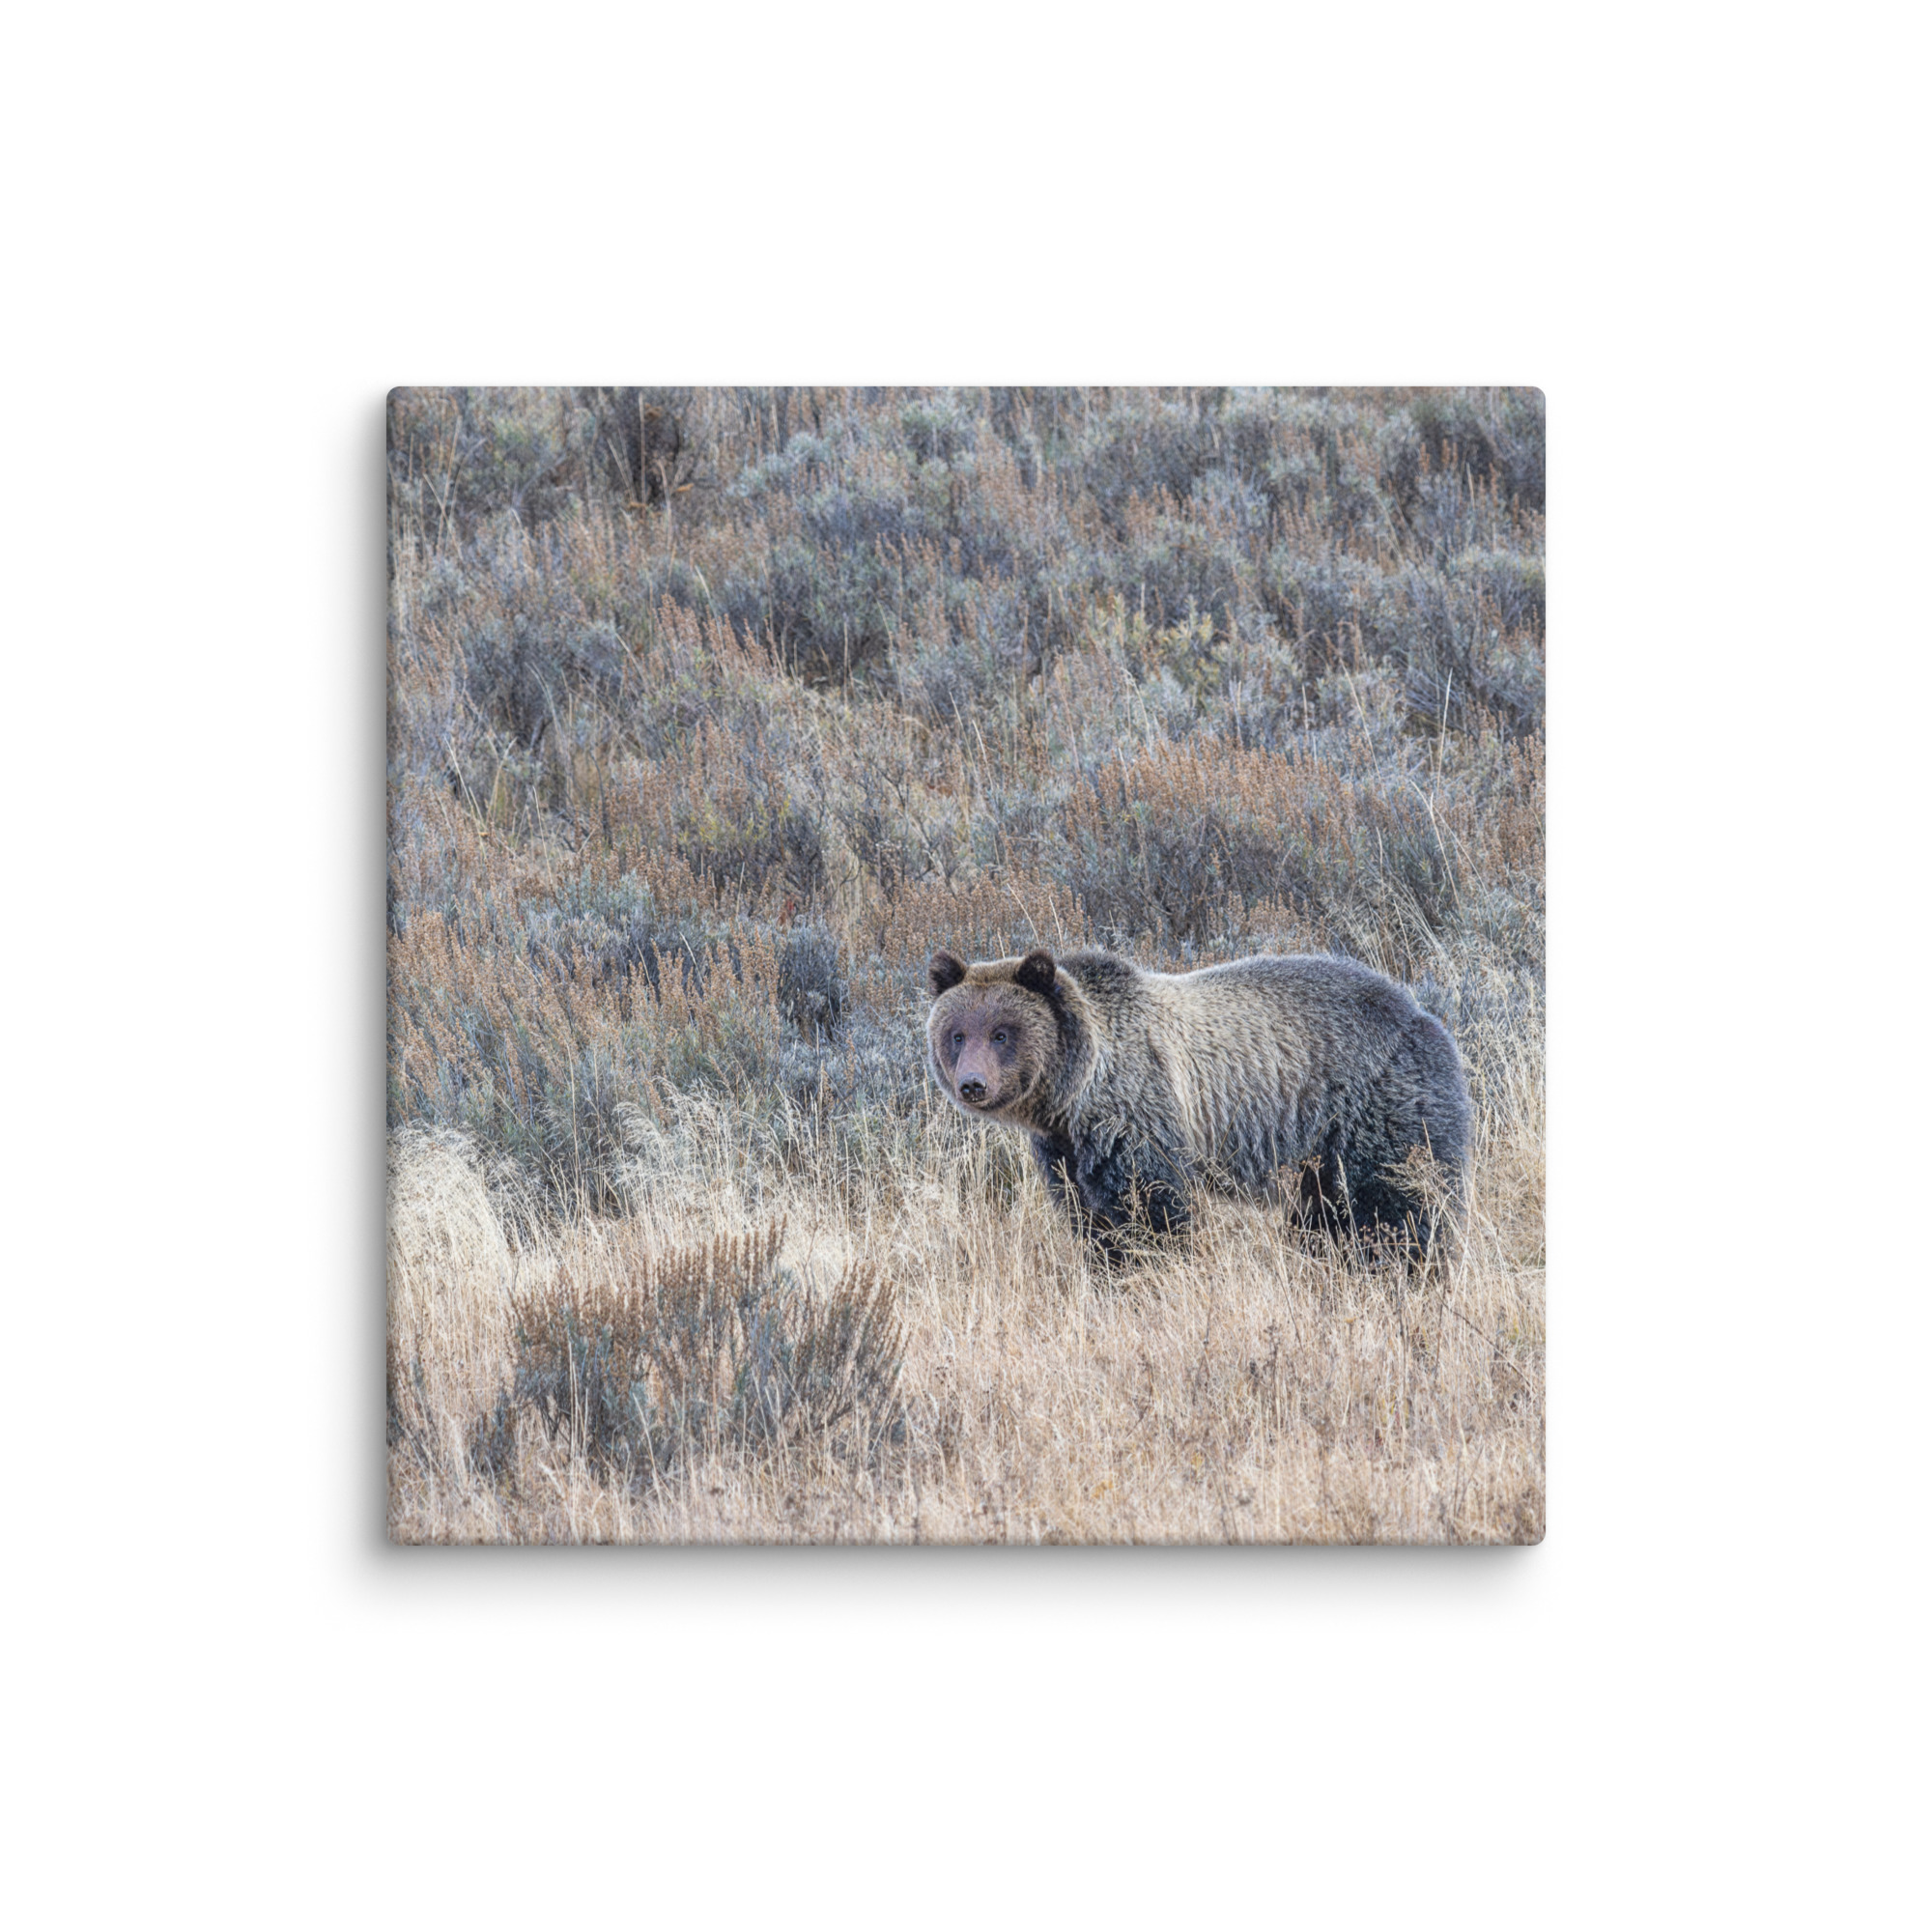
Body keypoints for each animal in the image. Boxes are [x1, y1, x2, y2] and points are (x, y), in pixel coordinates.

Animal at [926, 946, 1469, 1261]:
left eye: (1002, 1033)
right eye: (957, 1034)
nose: (972, 1084)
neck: (1074, 1094)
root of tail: (1423, 1014)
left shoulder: (1139, 1114)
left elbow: (1153, 1210)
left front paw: (1153, 1266)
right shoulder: (1065, 1150)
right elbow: (1090, 1218)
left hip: (1377, 1108)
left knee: (1398, 1203)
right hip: (1319, 1154)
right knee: (1325, 1216)